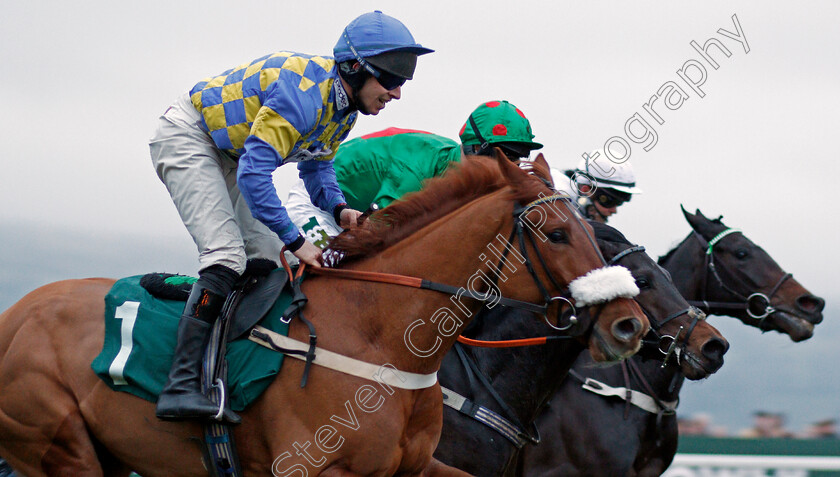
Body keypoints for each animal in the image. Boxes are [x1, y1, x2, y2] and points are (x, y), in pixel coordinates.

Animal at [0, 154, 648, 476]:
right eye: (559, 234)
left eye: (595, 233)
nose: (629, 324)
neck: (381, 339)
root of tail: (16, 313)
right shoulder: (306, 468)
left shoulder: (415, 469)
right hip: (57, 443)